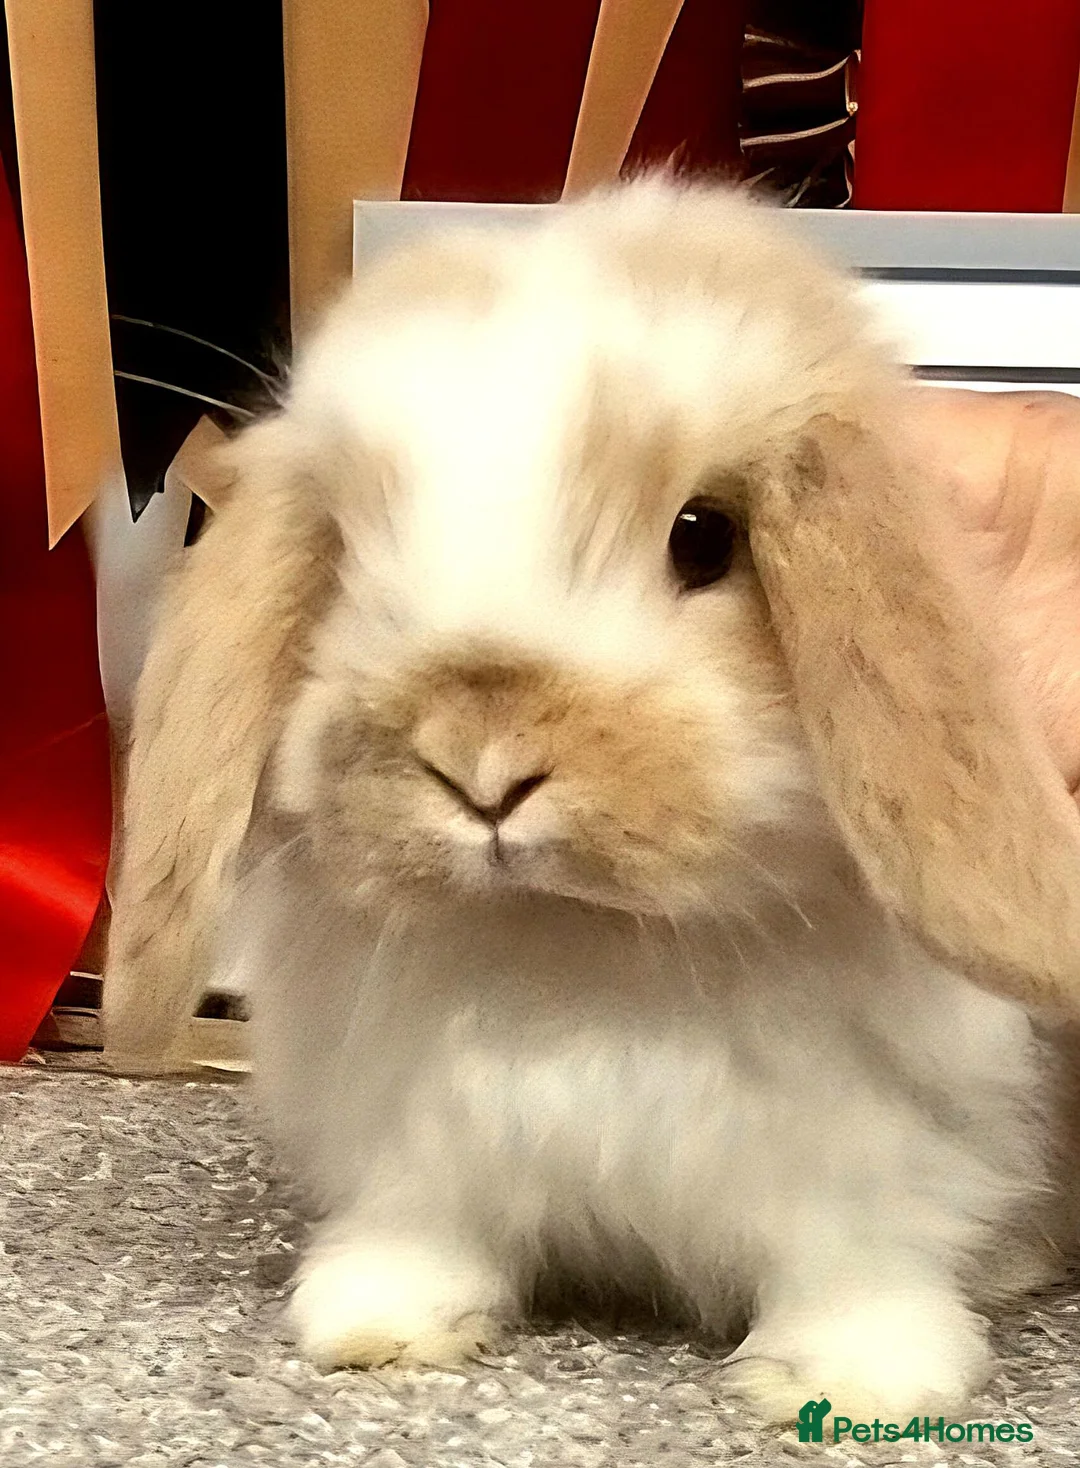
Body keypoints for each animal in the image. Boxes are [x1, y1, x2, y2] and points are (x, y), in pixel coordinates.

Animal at [104, 182, 1080, 1424]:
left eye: (704, 535)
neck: (583, 945)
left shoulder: (880, 1164)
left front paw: (852, 1382)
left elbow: (857, 1263)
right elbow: (425, 1231)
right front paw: (374, 1323)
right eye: (345, 556)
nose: (482, 764)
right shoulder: (421, 1143)